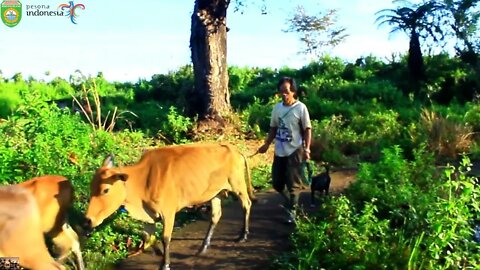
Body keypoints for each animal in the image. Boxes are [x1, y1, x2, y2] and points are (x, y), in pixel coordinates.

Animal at [83, 142, 255, 270]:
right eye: (91, 187)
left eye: (106, 190)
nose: (88, 220)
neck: (143, 181)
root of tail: (234, 149)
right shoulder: (149, 216)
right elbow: (147, 236)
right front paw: (157, 252)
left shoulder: (168, 212)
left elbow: (165, 238)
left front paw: (165, 263)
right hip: (215, 193)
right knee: (216, 216)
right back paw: (203, 247)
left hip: (238, 185)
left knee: (246, 204)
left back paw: (243, 235)